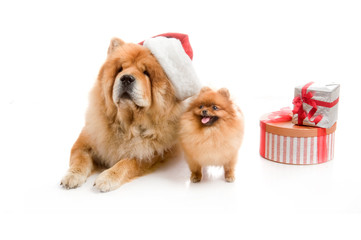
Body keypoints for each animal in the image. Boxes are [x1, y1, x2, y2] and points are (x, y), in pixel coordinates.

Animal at [60, 38, 183, 191]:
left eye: (146, 73)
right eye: (120, 69)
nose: (126, 78)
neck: (126, 123)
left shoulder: (148, 154)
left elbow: (127, 163)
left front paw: (106, 178)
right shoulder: (84, 141)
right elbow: (80, 159)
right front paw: (72, 176)